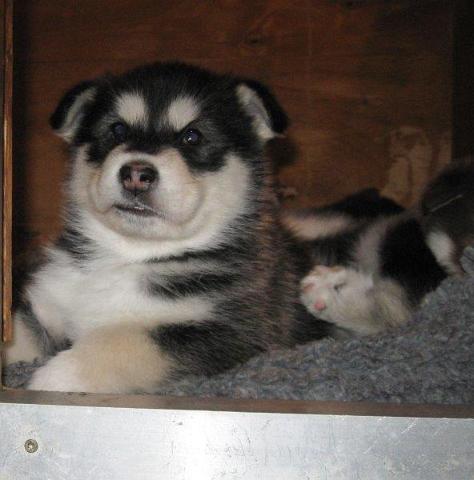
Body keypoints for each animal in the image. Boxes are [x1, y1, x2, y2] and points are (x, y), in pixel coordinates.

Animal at [3, 62, 335, 393]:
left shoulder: (227, 332)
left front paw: (57, 377)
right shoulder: (45, 307)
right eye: (117, 130)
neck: (130, 255)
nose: (136, 174)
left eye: (192, 136)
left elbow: (125, 341)